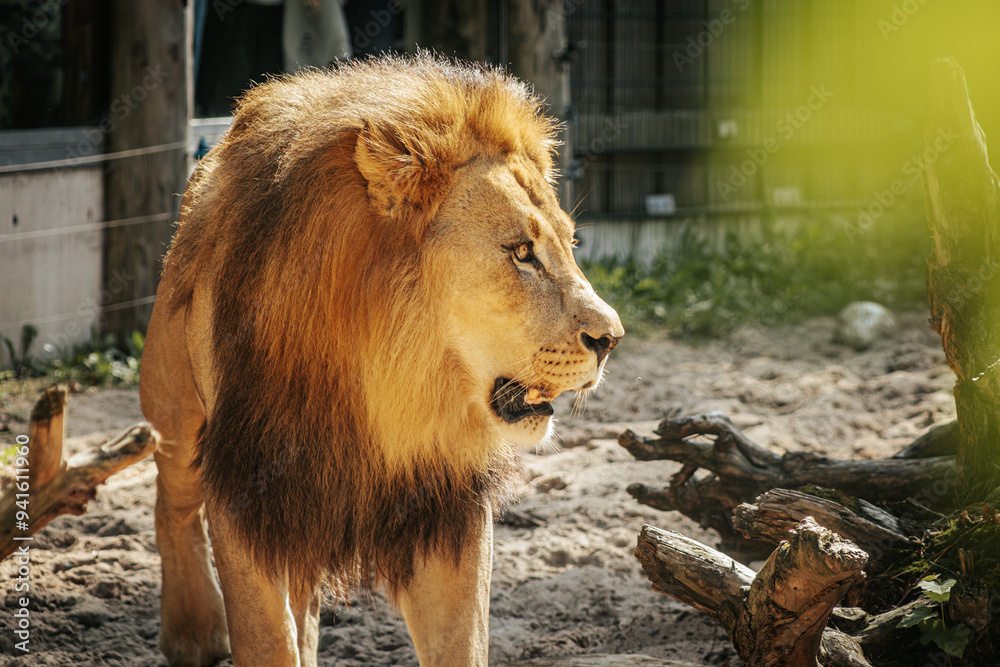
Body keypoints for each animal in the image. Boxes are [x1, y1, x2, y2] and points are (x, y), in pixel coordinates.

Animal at [139, 54, 623, 667]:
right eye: (520, 252)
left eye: (571, 245)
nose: (612, 338)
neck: (388, 387)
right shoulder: (246, 491)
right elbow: (266, 639)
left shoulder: (448, 508)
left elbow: (462, 643)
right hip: (175, 405)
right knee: (173, 499)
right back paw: (192, 632)